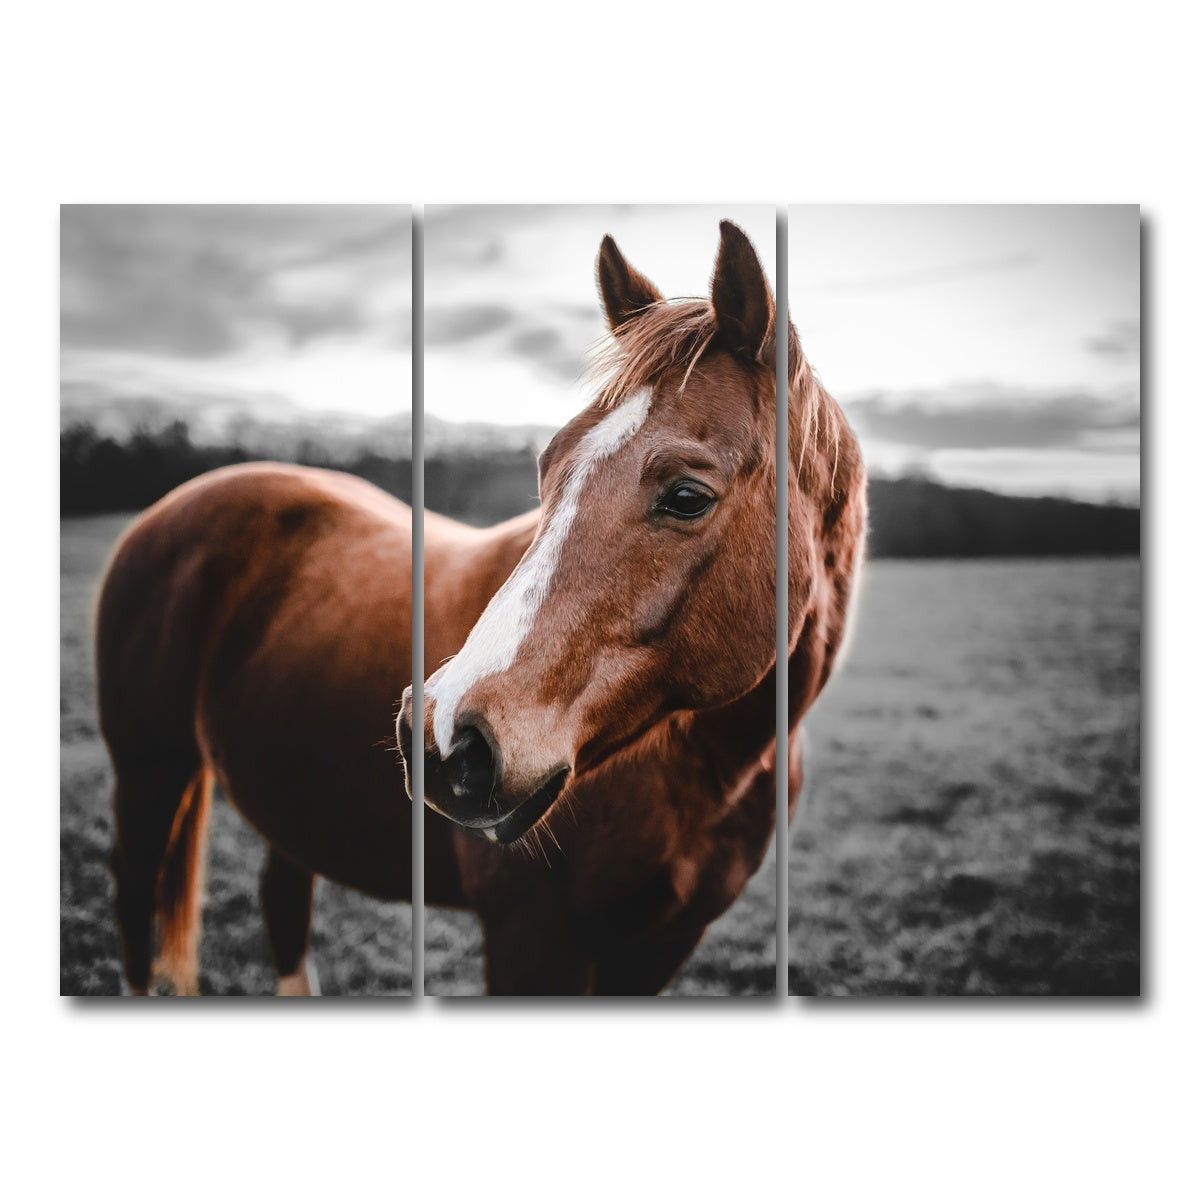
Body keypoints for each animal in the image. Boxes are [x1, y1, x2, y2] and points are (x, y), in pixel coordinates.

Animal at [400, 220, 866, 995]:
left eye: (686, 496)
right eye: (546, 467)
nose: (443, 737)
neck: (711, 770)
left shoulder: (660, 946)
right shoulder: (532, 944)